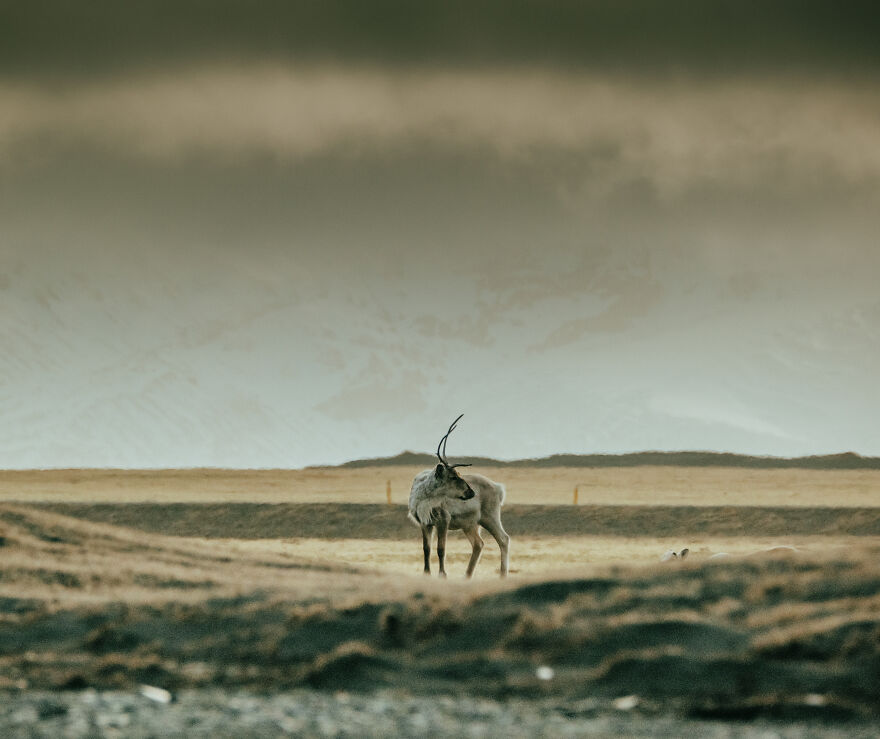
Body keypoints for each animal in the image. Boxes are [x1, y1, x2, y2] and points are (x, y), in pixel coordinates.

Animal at [408, 414, 510, 578]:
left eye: (459, 474)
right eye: (453, 476)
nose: (471, 492)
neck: (422, 498)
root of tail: (498, 488)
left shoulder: (443, 520)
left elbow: (441, 549)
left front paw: (442, 575)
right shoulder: (425, 522)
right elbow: (426, 549)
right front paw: (426, 573)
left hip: (489, 516)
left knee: (503, 539)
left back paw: (502, 575)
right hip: (470, 524)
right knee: (478, 544)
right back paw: (466, 576)